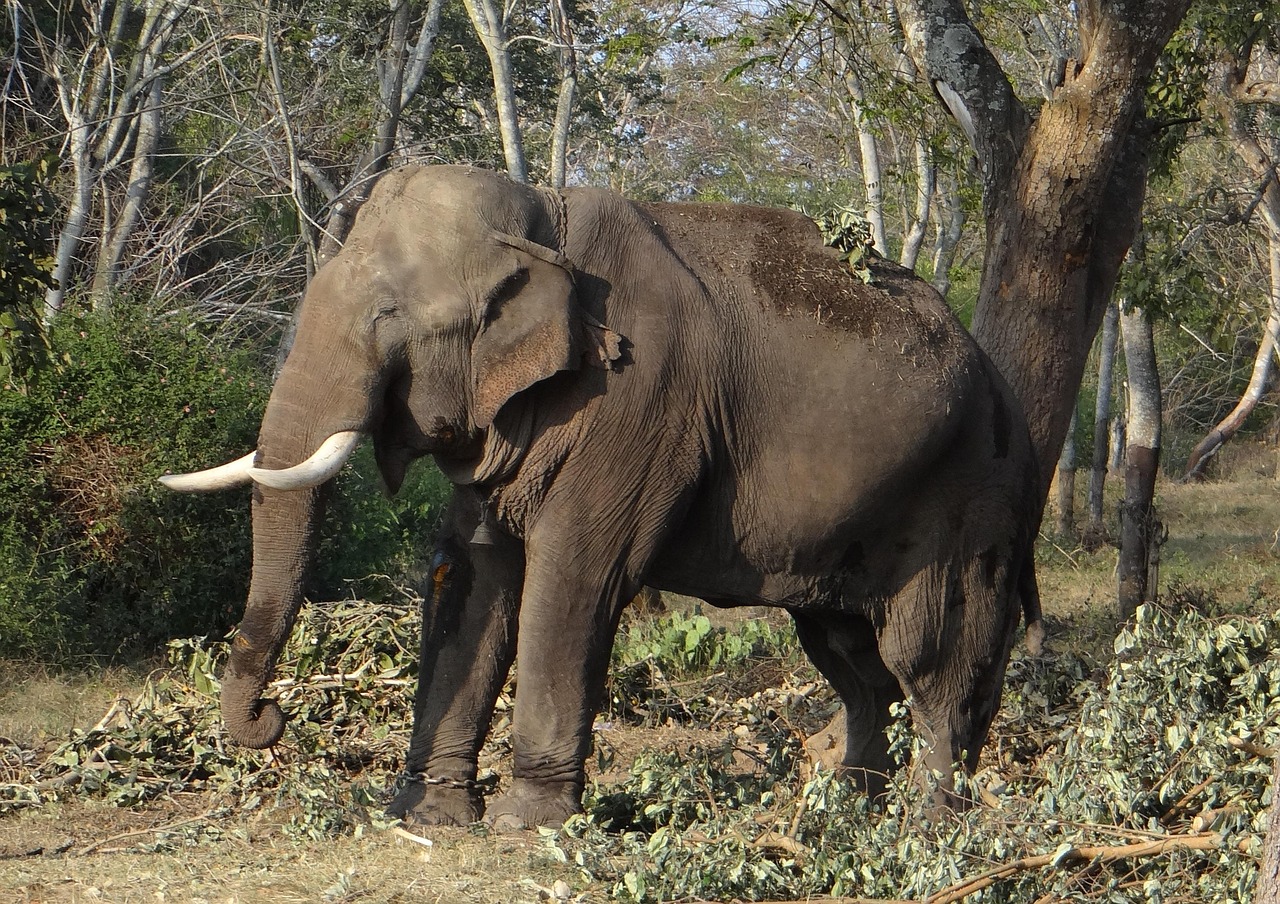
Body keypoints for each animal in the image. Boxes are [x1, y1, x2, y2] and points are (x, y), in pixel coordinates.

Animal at [162, 165, 1039, 829]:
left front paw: (524, 827)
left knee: (933, 658)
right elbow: (474, 577)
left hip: (972, 496)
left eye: (389, 315)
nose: (269, 721)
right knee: (852, 659)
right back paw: (847, 813)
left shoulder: (637, 402)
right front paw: (426, 817)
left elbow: (574, 577)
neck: (544, 219)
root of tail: (1004, 388)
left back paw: (930, 825)